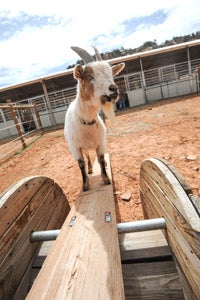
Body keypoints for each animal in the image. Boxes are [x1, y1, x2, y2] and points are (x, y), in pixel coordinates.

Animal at [64, 47, 125, 192]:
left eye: (111, 75)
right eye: (90, 76)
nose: (113, 89)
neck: (86, 122)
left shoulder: (100, 142)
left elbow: (101, 159)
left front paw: (106, 179)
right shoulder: (75, 148)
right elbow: (81, 164)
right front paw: (85, 185)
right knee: (87, 158)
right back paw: (90, 169)